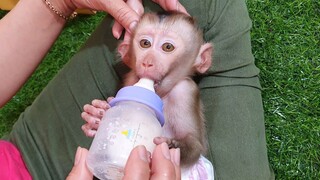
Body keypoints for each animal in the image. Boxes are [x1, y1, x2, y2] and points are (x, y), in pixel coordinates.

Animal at [82, 12, 212, 167]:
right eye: (145, 43)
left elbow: (194, 145)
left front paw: (169, 146)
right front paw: (96, 114)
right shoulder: (131, 80)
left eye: (168, 47)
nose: (147, 62)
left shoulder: (184, 91)